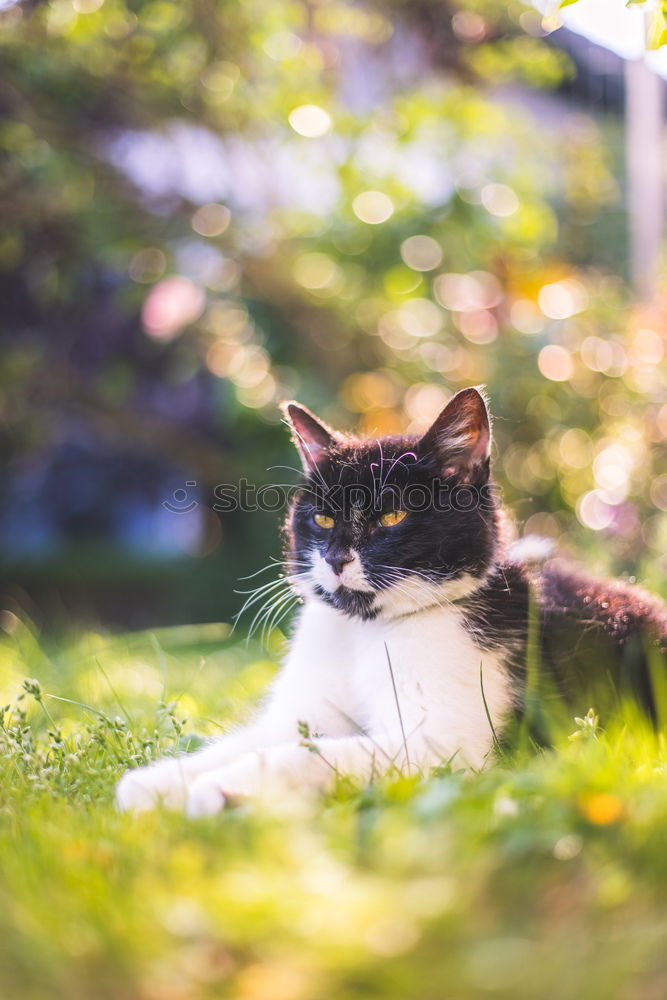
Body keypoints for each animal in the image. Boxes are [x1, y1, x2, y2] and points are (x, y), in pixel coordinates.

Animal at [116, 386, 667, 816]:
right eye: (321, 519)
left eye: (393, 517)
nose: (337, 558)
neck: (364, 630)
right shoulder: (305, 711)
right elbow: (260, 739)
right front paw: (157, 783)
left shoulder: (446, 745)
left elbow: (310, 755)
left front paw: (225, 787)